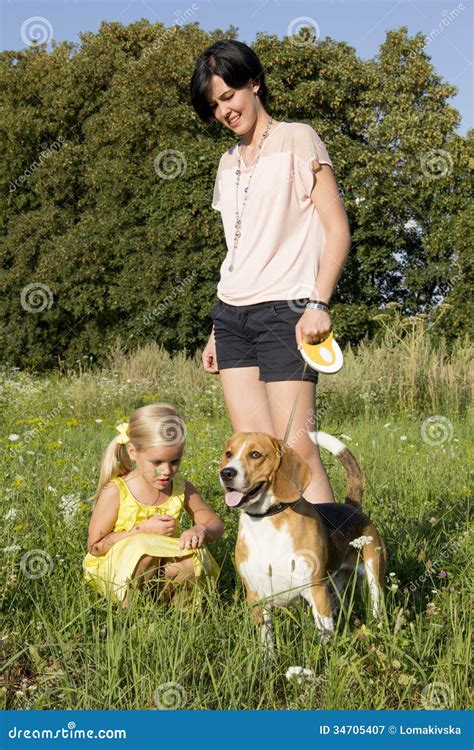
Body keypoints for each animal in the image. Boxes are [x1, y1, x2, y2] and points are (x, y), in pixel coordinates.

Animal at [220, 432, 386, 648]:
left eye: (255, 454)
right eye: (228, 454)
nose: (226, 473)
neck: (267, 520)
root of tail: (351, 507)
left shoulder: (315, 590)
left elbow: (324, 636)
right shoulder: (256, 596)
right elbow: (266, 641)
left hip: (374, 573)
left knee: (376, 602)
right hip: (336, 583)